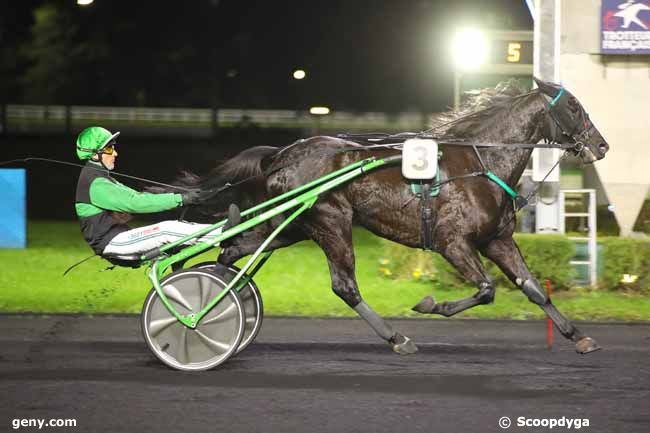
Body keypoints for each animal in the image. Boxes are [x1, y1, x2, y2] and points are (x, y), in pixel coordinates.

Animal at [166, 77, 608, 354]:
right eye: (573, 106)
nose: (601, 146)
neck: (481, 163)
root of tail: (281, 154)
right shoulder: (453, 242)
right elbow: (486, 290)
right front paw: (430, 304)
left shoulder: (497, 240)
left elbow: (533, 289)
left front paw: (579, 336)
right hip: (330, 223)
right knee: (344, 286)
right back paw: (397, 338)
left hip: (290, 226)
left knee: (232, 250)